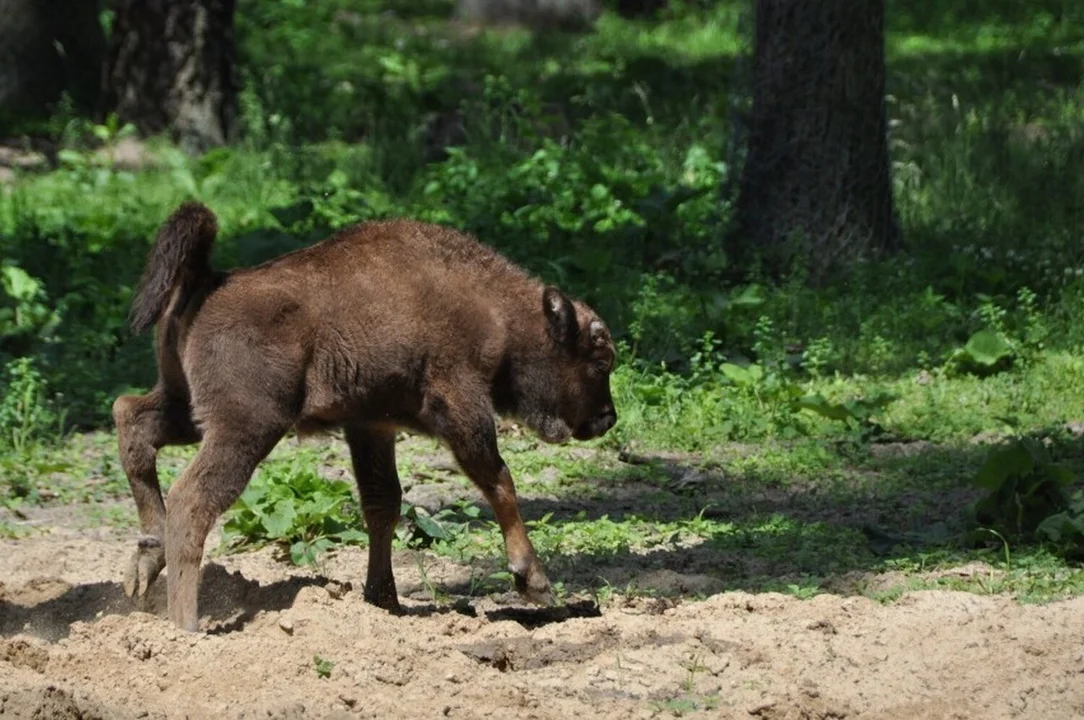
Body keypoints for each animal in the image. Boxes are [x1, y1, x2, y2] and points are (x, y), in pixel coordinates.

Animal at [114, 202, 620, 628]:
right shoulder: (461, 407)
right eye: (599, 362)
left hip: (187, 407)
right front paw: (534, 582)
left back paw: (146, 564)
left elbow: (383, 504)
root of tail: (208, 279)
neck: (499, 310)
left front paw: (384, 601)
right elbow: (499, 481)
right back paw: (185, 626)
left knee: (131, 419)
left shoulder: (371, 425)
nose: (607, 418)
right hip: (246, 426)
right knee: (192, 500)